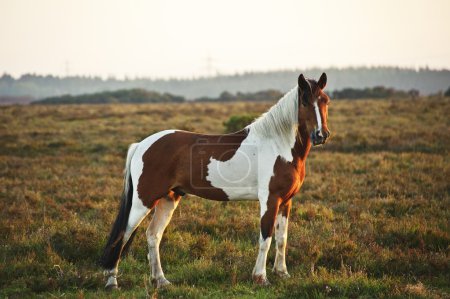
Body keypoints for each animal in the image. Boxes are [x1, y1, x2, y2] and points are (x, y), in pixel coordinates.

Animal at [102, 73, 332, 290]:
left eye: (325, 100)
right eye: (304, 101)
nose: (321, 135)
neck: (277, 145)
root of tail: (142, 144)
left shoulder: (286, 201)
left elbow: (282, 238)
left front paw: (282, 273)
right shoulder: (270, 200)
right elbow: (265, 238)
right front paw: (260, 277)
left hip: (168, 199)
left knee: (153, 235)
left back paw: (161, 281)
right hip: (143, 201)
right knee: (122, 236)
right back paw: (112, 283)